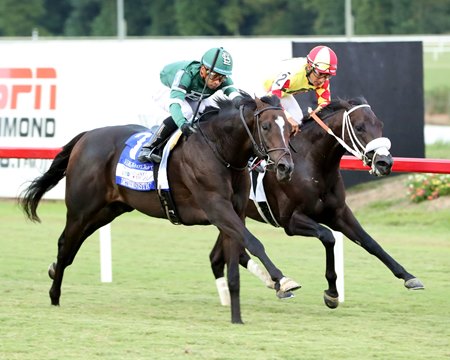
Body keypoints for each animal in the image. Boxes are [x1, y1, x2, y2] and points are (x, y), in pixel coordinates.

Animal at [20, 93, 302, 324]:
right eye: (265, 126)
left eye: (290, 129)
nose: (285, 167)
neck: (220, 150)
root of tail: (86, 135)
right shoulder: (215, 207)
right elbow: (254, 243)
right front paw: (282, 280)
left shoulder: (235, 212)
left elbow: (236, 258)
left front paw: (237, 317)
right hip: (81, 209)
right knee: (65, 243)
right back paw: (54, 294)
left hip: (108, 210)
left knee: (71, 247)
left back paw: (53, 272)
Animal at [209, 96, 424, 310]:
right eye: (359, 127)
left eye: (380, 125)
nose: (385, 163)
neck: (311, 163)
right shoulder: (291, 221)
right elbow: (328, 237)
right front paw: (332, 293)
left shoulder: (338, 213)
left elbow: (370, 242)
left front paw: (409, 277)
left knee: (220, 256)